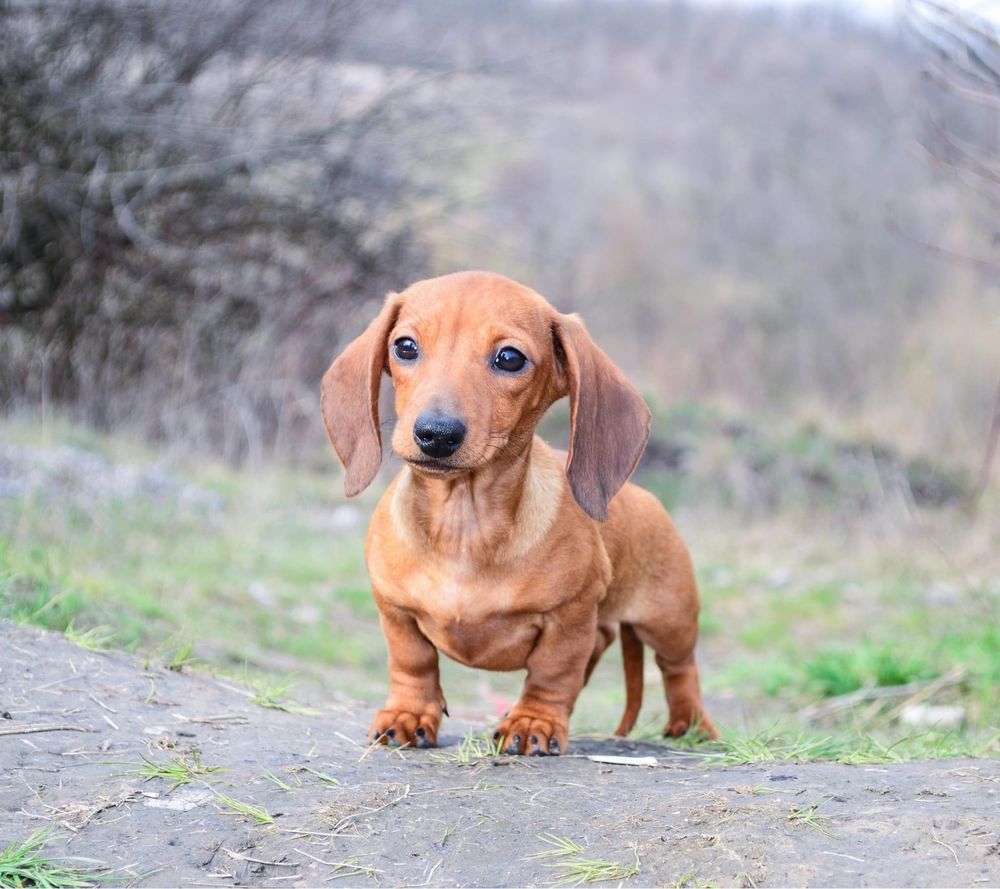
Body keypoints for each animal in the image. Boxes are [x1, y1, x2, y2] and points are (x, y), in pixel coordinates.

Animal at [320, 272, 712, 756]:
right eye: (405, 346)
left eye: (509, 358)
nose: (436, 434)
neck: (464, 525)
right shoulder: (395, 609)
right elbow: (412, 662)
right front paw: (408, 714)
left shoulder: (569, 615)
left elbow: (552, 671)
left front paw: (534, 720)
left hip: (668, 620)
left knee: (679, 668)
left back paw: (691, 723)